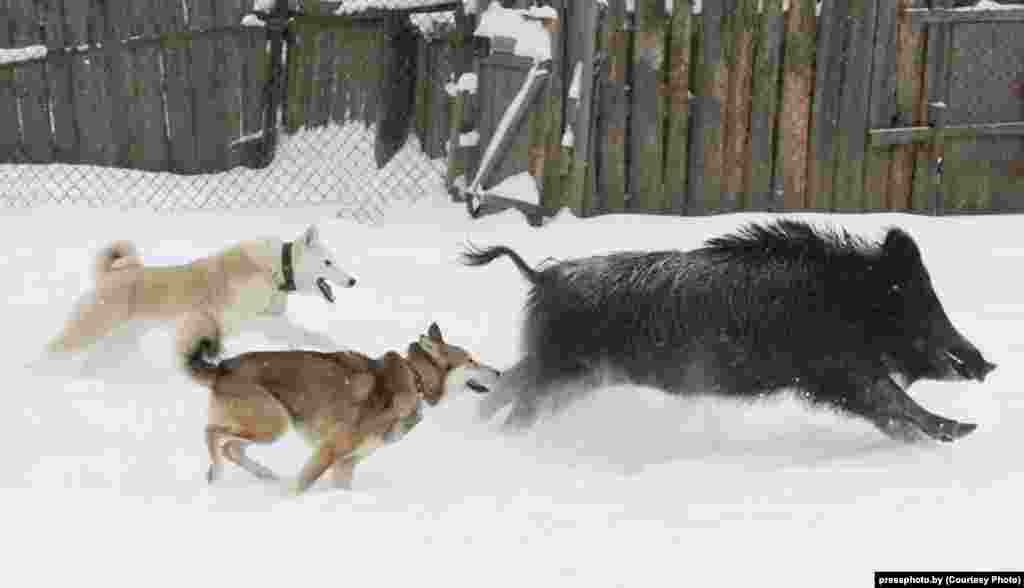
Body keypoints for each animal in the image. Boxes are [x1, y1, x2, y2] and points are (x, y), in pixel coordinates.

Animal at [189, 325, 503, 495]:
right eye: (471, 360)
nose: (499, 372)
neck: (415, 379)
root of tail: (223, 367)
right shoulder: (329, 451)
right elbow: (301, 486)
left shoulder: (346, 463)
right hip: (274, 425)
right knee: (212, 434)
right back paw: (218, 473)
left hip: (267, 427)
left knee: (231, 447)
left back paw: (264, 476)